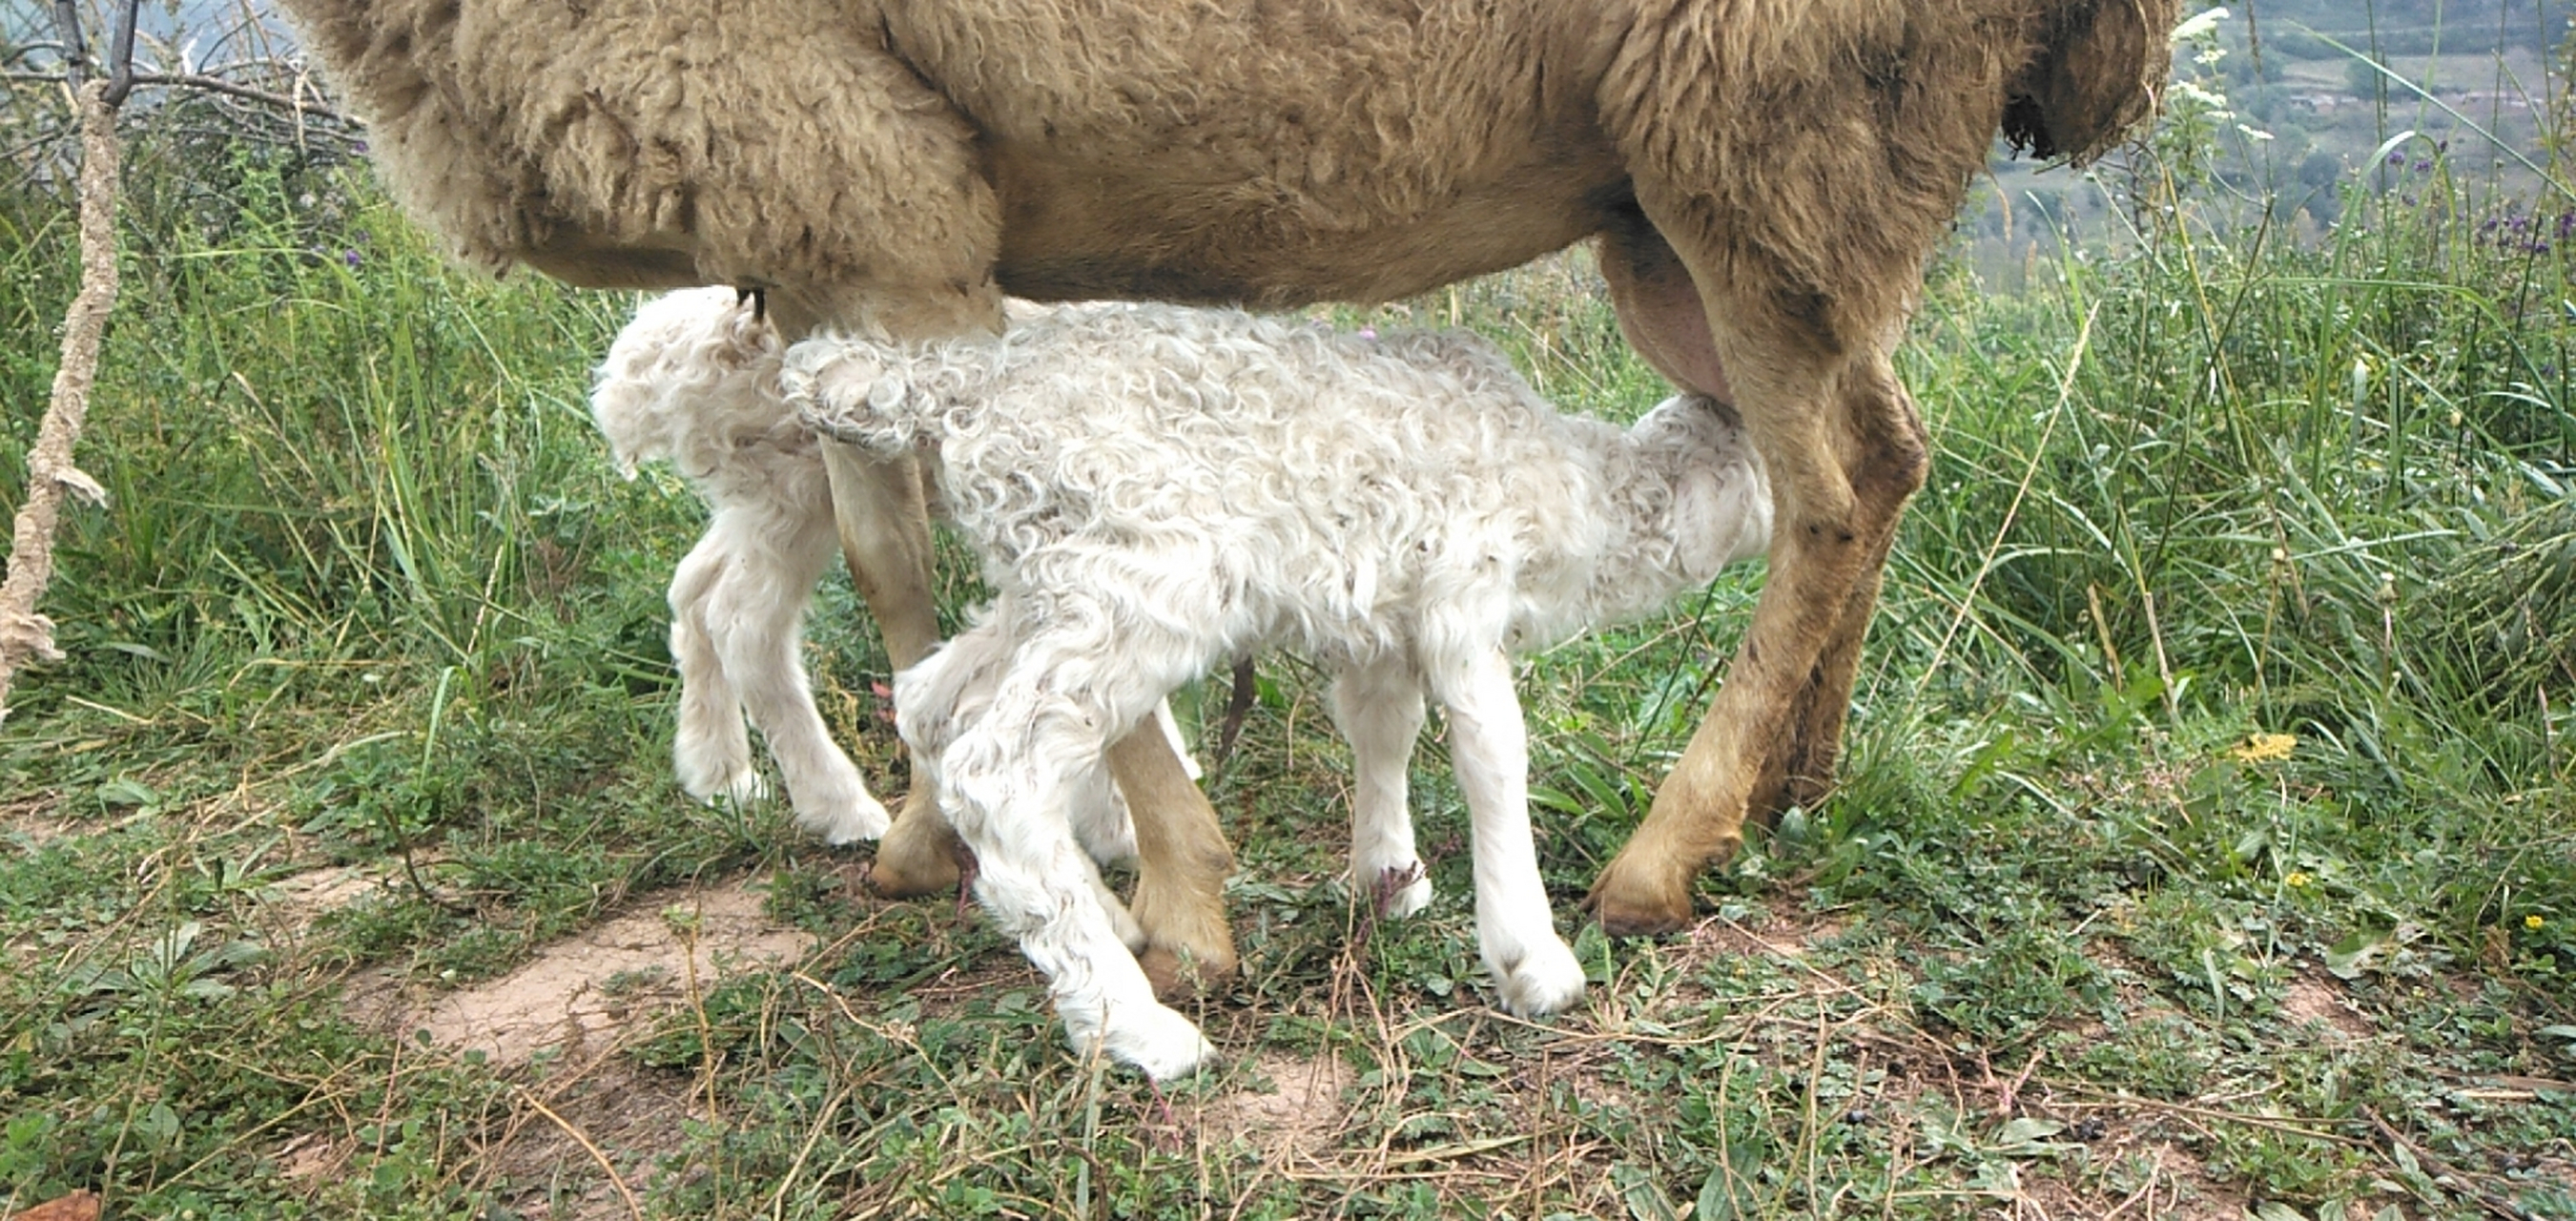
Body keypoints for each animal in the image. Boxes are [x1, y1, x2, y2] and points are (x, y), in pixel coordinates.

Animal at [793, 305, 1783, 1076]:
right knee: (999, 770)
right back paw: (1139, 1030)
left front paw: (1389, 876)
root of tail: (958, 387)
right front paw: (1533, 962)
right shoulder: (1463, 587)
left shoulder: (1385, 616)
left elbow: (1382, 727)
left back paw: (1104, 920)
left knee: (931, 701)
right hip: (1142, 570)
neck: (1579, 487)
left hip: (1045, 579)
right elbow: (1493, 752)